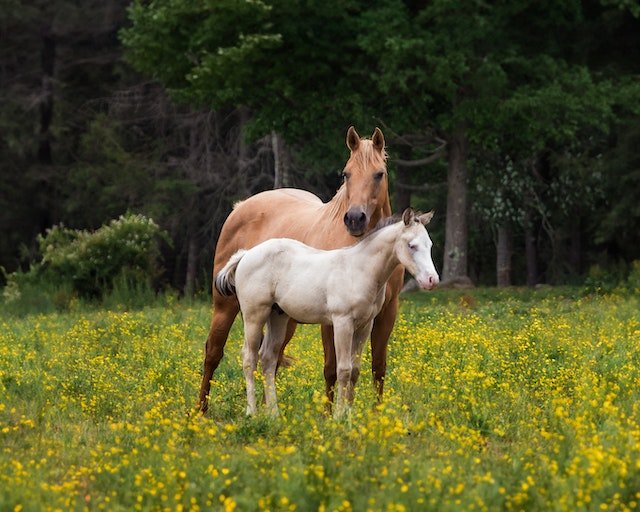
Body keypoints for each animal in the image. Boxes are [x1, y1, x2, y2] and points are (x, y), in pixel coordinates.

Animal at [198, 127, 402, 412]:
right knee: (214, 352)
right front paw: (328, 415)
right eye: (346, 173)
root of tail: (240, 207)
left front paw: (376, 414)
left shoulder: (385, 312)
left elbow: (378, 368)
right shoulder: (333, 319)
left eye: (379, 173)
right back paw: (200, 412)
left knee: (270, 357)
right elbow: (331, 368)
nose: (354, 219)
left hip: (283, 316)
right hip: (225, 306)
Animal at [215, 206, 440, 418]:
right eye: (412, 245)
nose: (432, 280)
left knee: (268, 358)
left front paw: (350, 414)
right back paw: (251, 412)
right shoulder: (342, 323)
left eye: (429, 245)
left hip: (277, 316)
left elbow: (355, 371)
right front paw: (339, 416)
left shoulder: (364, 325)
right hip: (254, 315)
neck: (359, 270)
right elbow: (343, 370)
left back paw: (273, 413)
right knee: (249, 358)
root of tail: (246, 254)